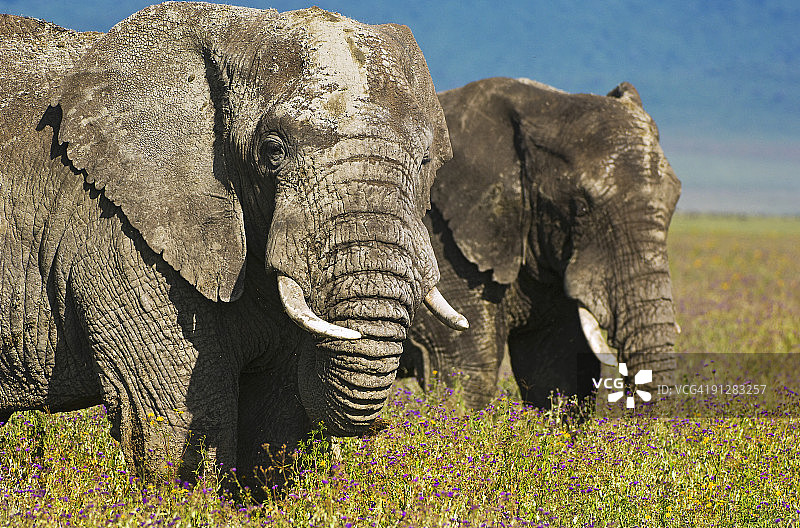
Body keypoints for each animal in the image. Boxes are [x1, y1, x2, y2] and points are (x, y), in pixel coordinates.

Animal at [0, 4, 468, 486]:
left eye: (427, 161)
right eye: (273, 150)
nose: (385, 429)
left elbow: (276, 420)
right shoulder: (118, 234)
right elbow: (176, 420)